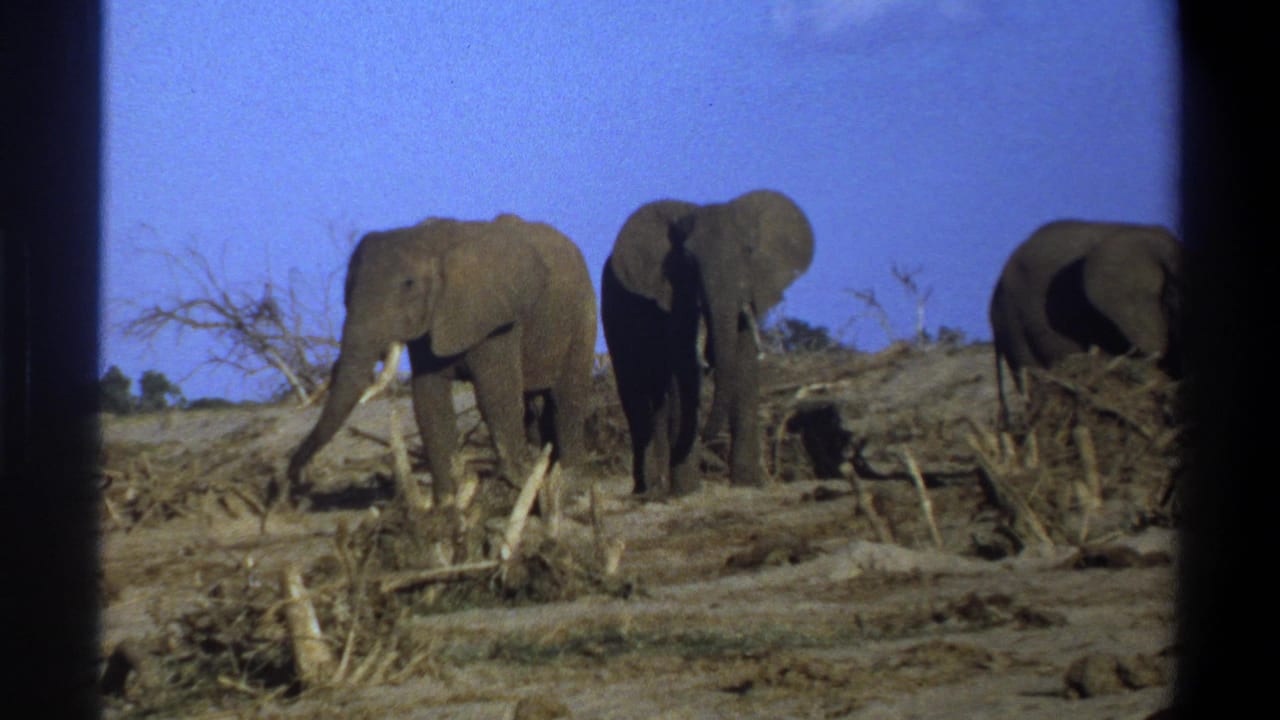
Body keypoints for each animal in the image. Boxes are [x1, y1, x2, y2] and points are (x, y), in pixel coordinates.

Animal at [285, 213, 598, 509]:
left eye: (408, 284)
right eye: (347, 290)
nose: (294, 479)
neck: (431, 240)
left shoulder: (496, 319)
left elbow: (495, 395)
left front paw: (517, 484)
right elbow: (429, 399)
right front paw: (446, 502)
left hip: (583, 314)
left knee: (568, 396)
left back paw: (568, 480)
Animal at [601, 189, 814, 496]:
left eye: (749, 251)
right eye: (688, 260)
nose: (706, 437)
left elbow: (743, 363)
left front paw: (748, 484)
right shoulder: (672, 296)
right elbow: (683, 370)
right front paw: (687, 491)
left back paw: (658, 486)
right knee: (635, 394)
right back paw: (648, 489)